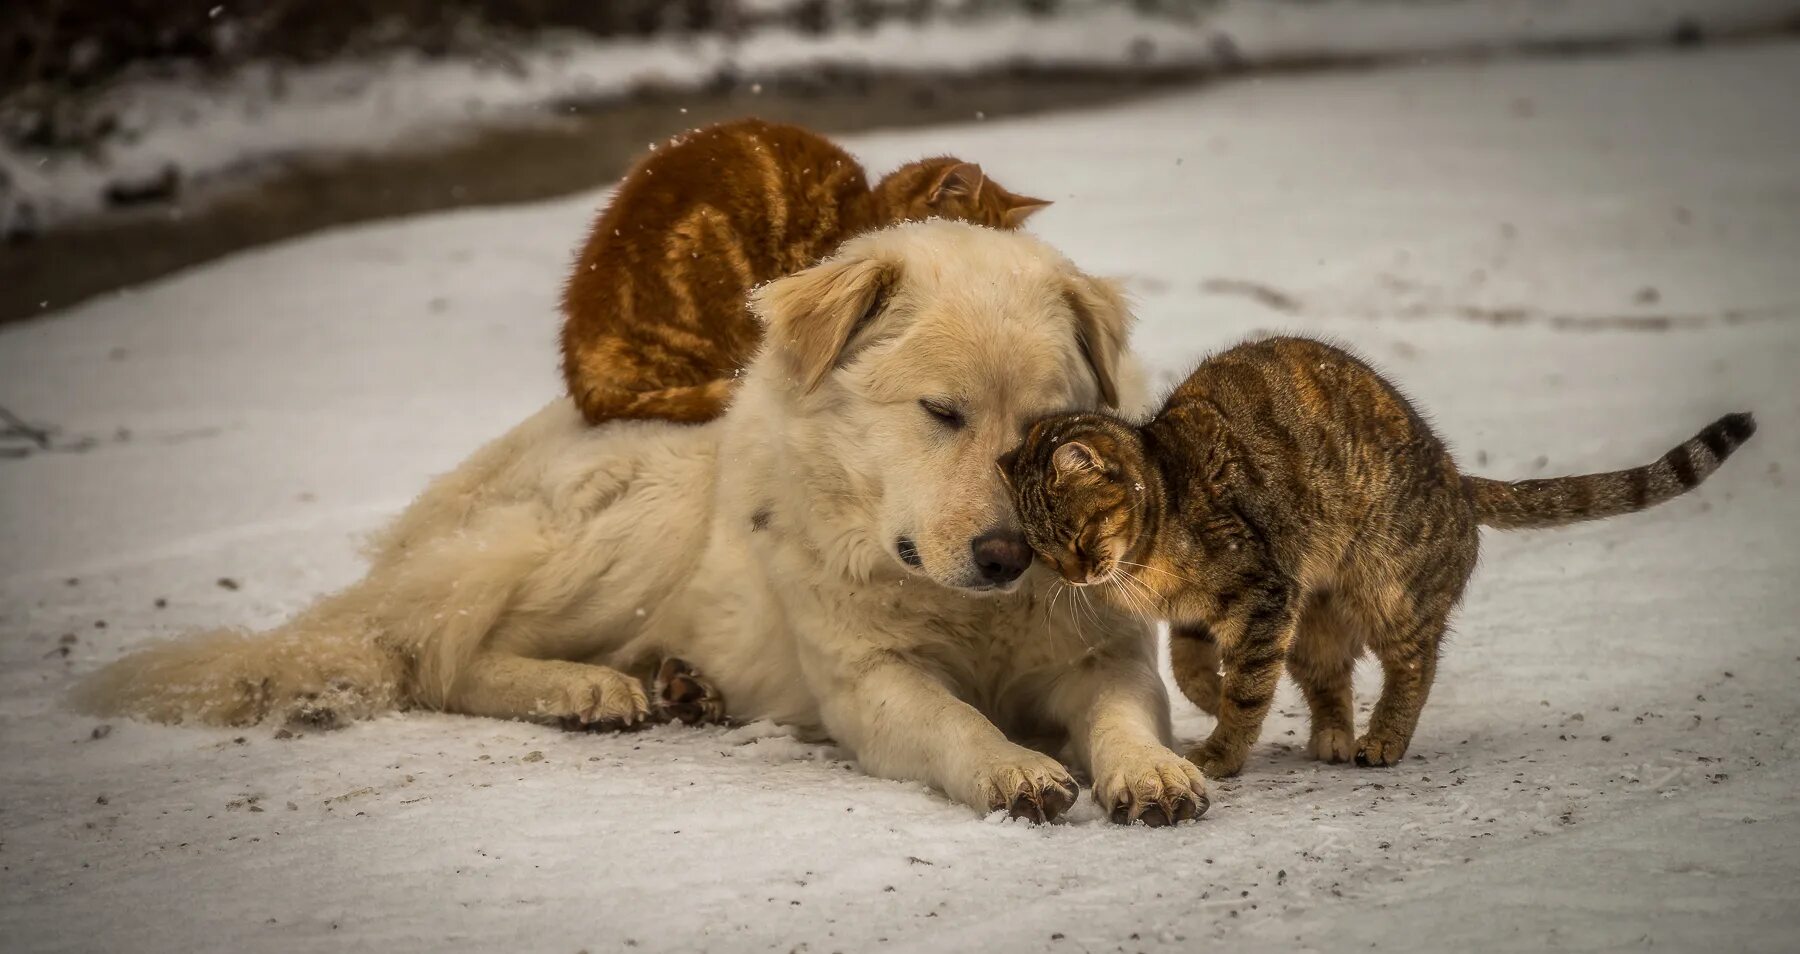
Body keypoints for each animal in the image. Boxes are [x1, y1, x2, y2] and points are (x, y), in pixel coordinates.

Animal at [81, 218, 1209, 820]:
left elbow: (1121, 716)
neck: (969, 611)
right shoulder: (870, 684)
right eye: (942, 413)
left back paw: (678, 681)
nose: (1009, 557)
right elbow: (955, 720)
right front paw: (1013, 767)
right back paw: (588, 689)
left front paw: (1151, 771)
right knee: (439, 655)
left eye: (1048, 433)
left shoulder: (1102, 657)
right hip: (641, 513)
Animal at [1000, 334, 1756, 770]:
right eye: (1042, 550)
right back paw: (1334, 737)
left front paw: (1221, 747)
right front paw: (1210, 700)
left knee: (1414, 666)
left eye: (1076, 536)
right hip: (1316, 616)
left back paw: (1383, 739)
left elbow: (1247, 688)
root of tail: (1458, 478)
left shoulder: (1262, 591)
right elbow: (1191, 671)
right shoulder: (1211, 614)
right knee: (1332, 678)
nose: (1076, 574)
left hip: (1390, 590)